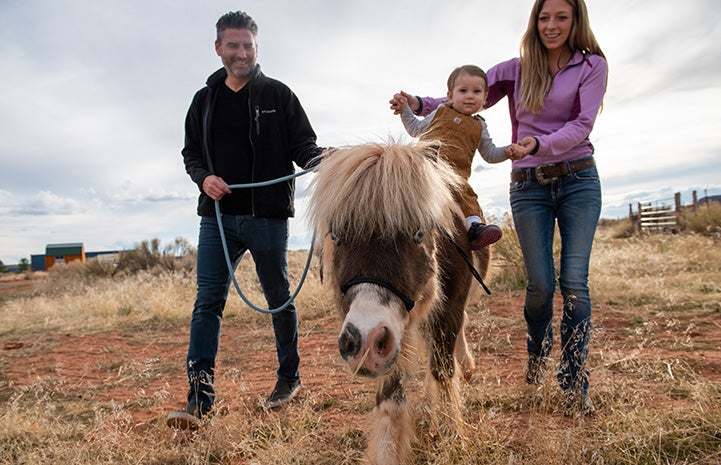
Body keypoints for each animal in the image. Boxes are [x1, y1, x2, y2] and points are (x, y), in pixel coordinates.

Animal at [308, 141, 490, 464]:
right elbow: (391, 395)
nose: (364, 344)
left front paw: (452, 438)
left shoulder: (448, 310)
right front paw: (389, 452)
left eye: (418, 234)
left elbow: (443, 371)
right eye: (336, 237)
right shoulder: (393, 333)